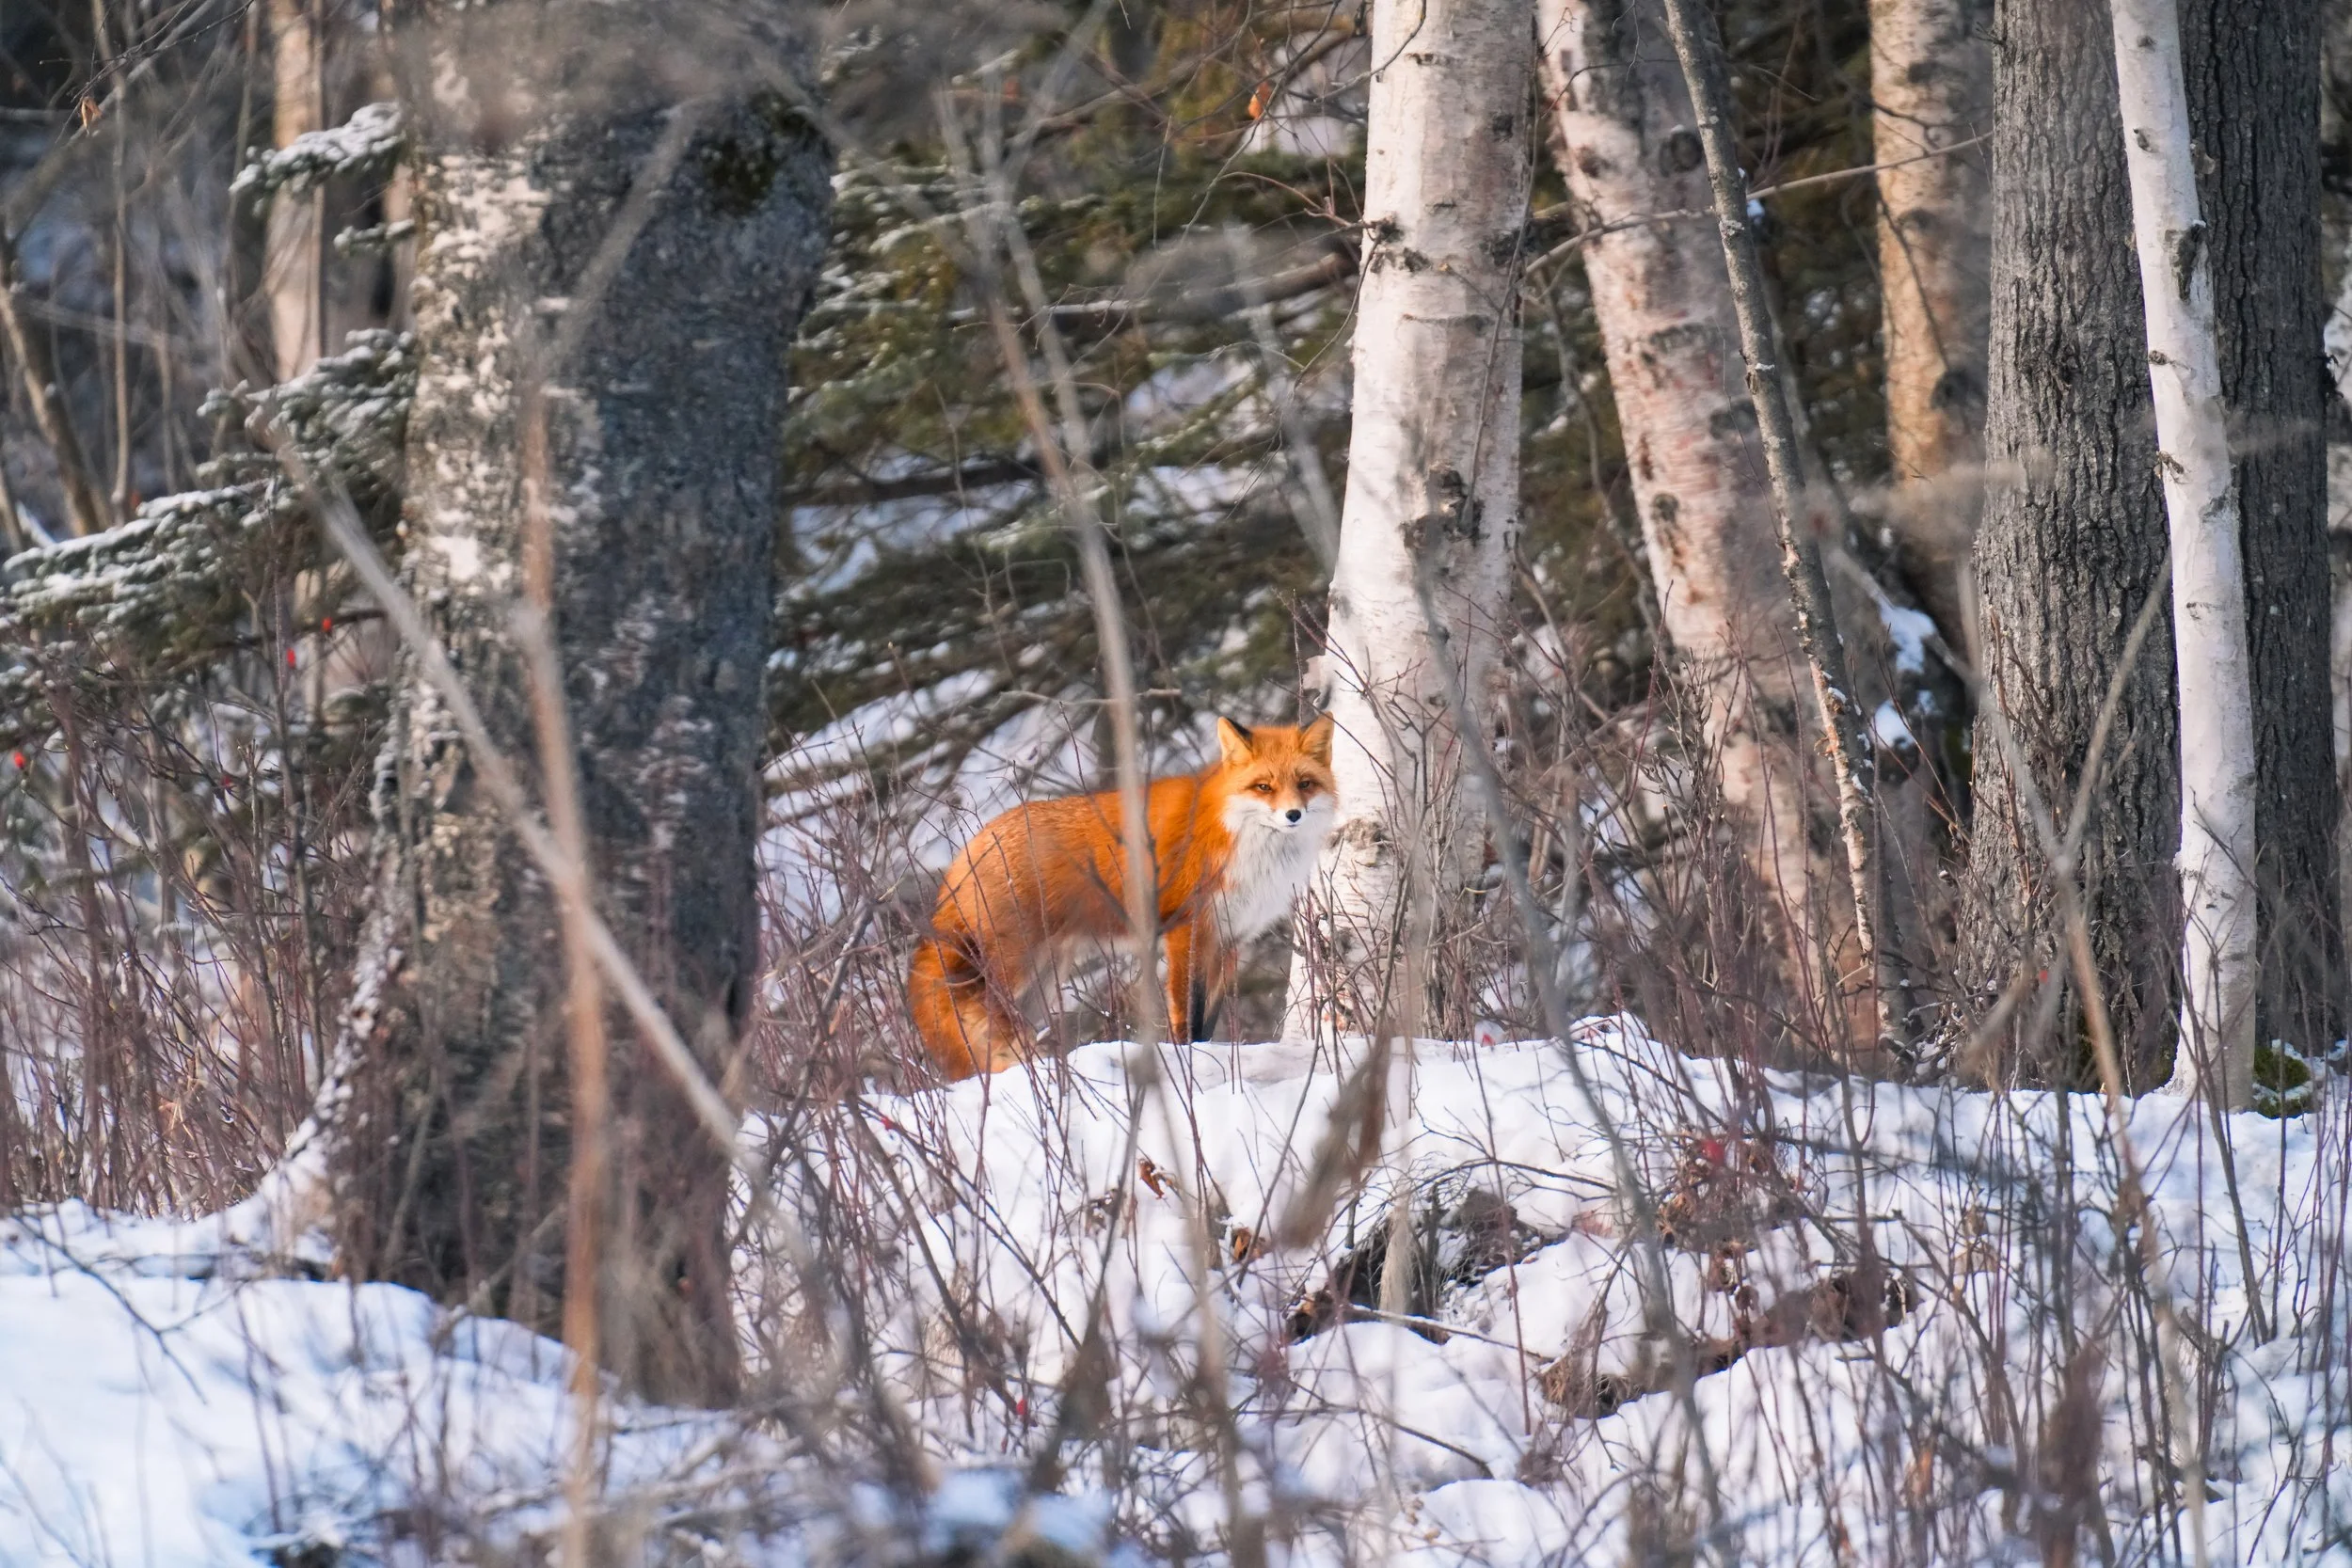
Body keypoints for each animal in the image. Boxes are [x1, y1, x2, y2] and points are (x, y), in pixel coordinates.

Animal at [908, 714, 1338, 1078]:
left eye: (1305, 784)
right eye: (1264, 786)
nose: (1294, 815)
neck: (1238, 837)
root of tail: (972, 846)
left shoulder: (1230, 941)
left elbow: (1208, 1021)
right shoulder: (1187, 929)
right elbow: (1188, 1016)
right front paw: (1187, 1062)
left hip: (1043, 977)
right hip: (1012, 968)